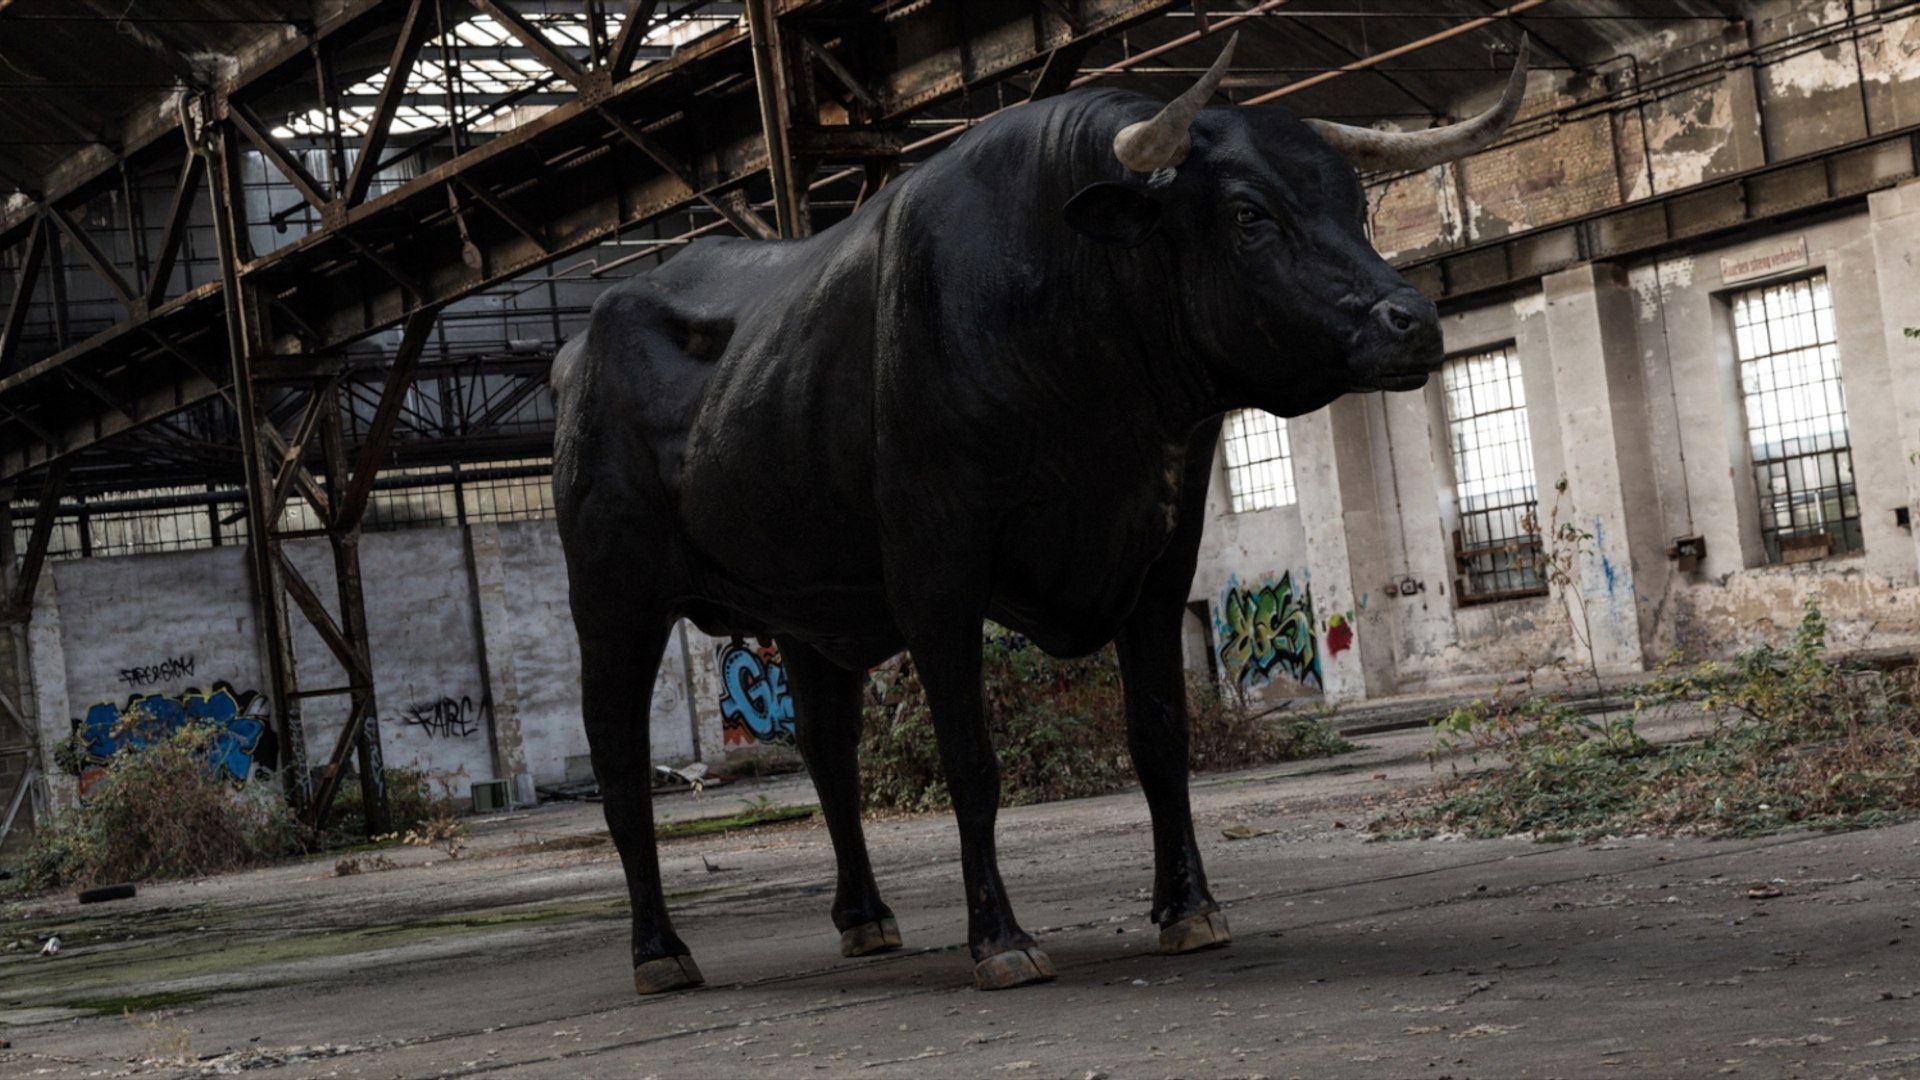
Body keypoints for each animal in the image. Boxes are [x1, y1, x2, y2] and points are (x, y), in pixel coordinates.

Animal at [552, 34, 1529, 994]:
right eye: (1249, 214)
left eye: (1355, 204)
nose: (1414, 320)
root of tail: (578, 344)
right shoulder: (936, 571)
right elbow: (971, 760)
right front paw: (1000, 939)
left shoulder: (1161, 560)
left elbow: (1160, 735)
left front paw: (1189, 909)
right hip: (613, 599)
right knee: (619, 764)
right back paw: (659, 951)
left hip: (803, 605)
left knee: (828, 751)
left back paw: (865, 921)